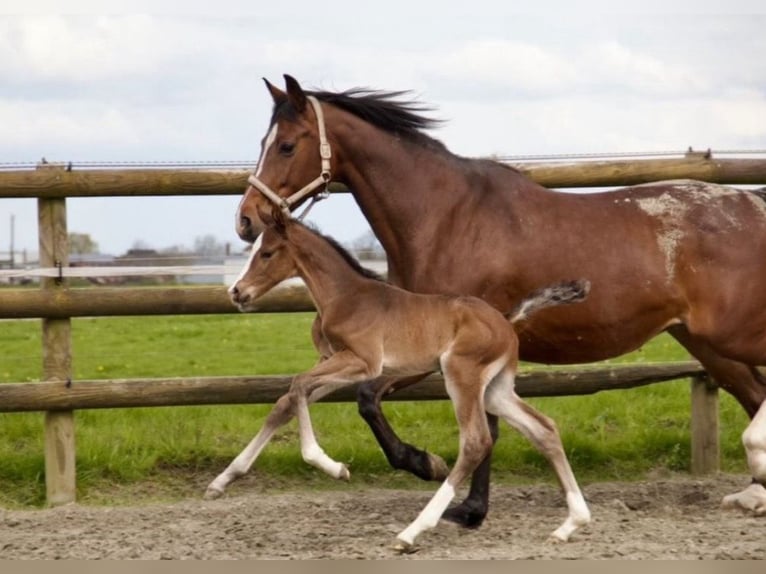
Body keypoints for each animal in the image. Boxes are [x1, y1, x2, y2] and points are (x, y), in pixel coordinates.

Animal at [205, 208, 592, 551]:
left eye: (267, 253)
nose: (237, 292)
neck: (345, 296)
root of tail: (506, 320)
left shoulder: (363, 362)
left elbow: (298, 384)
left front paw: (332, 467)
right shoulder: (336, 362)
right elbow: (286, 401)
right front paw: (222, 480)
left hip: (461, 375)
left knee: (476, 441)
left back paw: (412, 532)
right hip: (495, 389)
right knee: (543, 428)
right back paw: (571, 524)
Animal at [234, 74, 766, 525]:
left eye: (286, 144)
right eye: (261, 143)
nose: (246, 219)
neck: (447, 217)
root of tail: (753, 204)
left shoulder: (450, 352)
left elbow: (446, 419)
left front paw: (448, 486)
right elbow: (379, 402)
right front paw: (455, 490)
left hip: (728, 334)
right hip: (707, 345)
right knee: (754, 392)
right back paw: (754, 491)